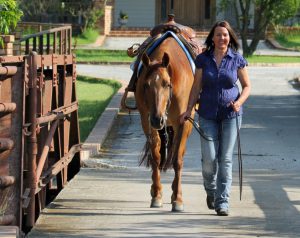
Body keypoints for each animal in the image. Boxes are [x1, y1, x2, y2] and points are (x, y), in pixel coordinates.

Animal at [135, 37, 196, 212]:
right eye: (146, 85)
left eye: (167, 84)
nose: (157, 119)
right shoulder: (147, 121)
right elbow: (155, 156)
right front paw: (156, 195)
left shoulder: (183, 123)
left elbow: (177, 160)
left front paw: (178, 199)